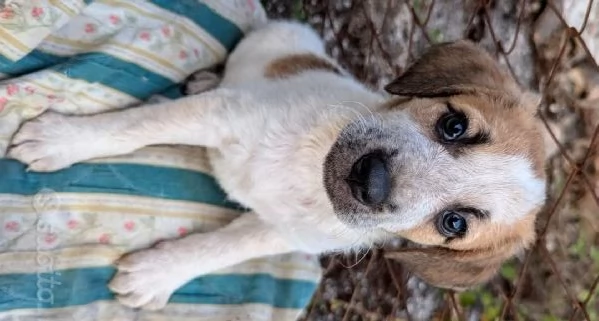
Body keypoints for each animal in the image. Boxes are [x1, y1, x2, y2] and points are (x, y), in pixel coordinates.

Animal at [8, 21, 548, 308]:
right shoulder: (222, 113)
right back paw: (207, 76)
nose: (371, 181)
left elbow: (219, 250)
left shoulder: (282, 232)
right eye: (454, 125)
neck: (306, 169)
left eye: (453, 223)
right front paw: (61, 139)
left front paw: (155, 275)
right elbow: (135, 127)